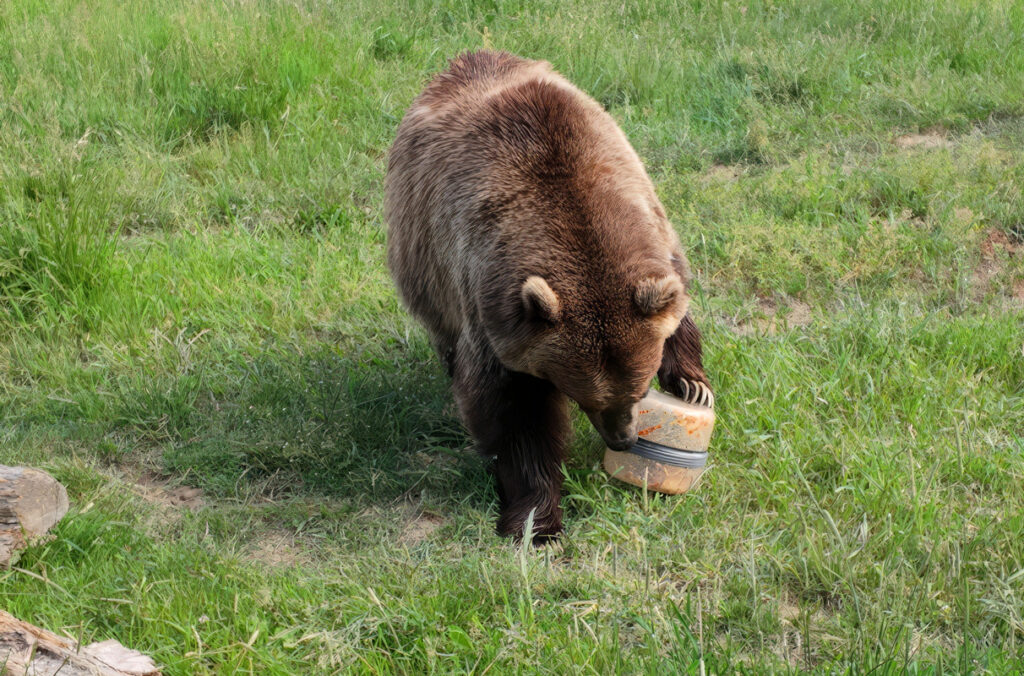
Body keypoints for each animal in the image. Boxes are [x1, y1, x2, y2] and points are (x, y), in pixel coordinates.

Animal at [385, 51, 712, 540]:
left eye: (639, 391)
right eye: (587, 398)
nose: (624, 439)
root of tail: (463, 60)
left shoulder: (653, 229)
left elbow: (677, 310)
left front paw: (694, 385)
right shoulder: (489, 304)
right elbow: (516, 416)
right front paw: (537, 519)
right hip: (422, 255)